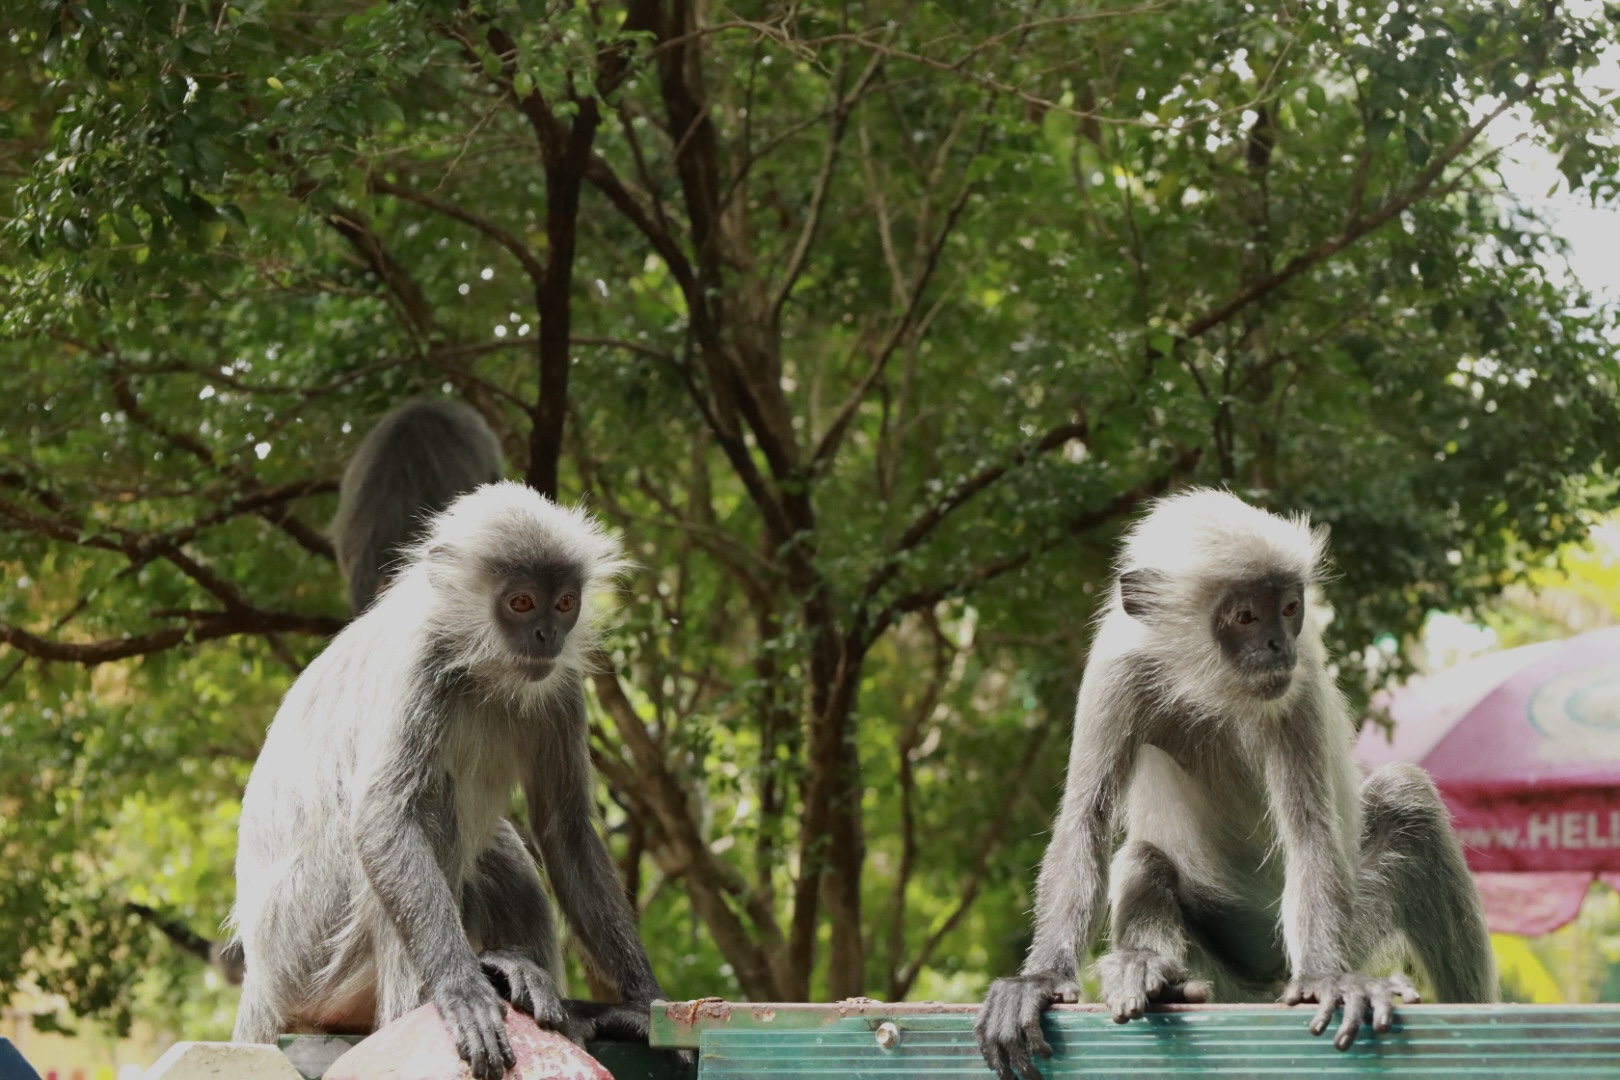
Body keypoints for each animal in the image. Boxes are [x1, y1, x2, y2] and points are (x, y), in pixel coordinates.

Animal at [228, 459, 670, 1075]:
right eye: (520, 603)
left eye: (563, 604)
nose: (545, 635)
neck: (484, 669)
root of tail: (261, 982)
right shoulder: (419, 660)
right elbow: (383, 820)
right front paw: (460, 989)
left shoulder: (558, 683)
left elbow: (565, 831)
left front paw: (645, 1006)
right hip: (306, 946)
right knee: (423, 807)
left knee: (500, 845)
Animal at [972, 488, 1490, 1080]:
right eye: (1245, 616)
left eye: (1289, 609)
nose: (1277, 644)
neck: (1207, 685)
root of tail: (1264, 984)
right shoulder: (1117, 669)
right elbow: (1085, 819)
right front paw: (1040, 980)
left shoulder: (1297, 684)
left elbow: (1310, 829)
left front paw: (1326, 979)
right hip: (1220, 973)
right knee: (1142, 858)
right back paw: (1156, 978)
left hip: (1347, 927)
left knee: (1407, 795)